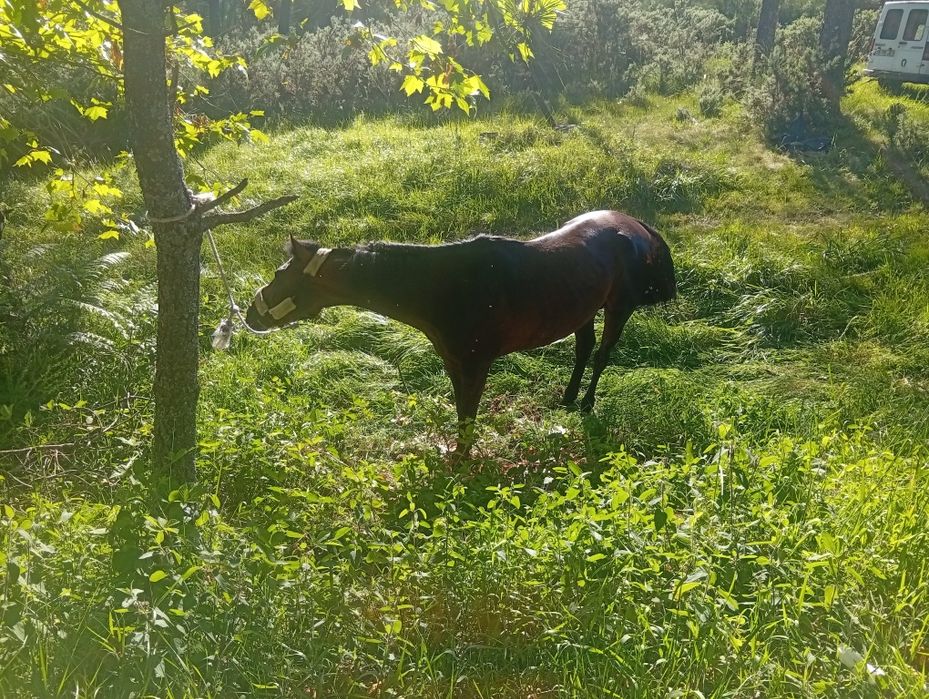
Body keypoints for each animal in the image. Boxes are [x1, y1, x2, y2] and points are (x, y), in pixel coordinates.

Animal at [245, 210, 677, 455]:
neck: (445, 288)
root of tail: (638, 227)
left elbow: (468, 414)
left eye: (280, 275)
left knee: (602, 354)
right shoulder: (454, 364)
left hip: (619, 308)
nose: (250, 314)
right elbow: (460, 412)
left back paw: (586, 404)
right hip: (582, 309)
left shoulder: (476, 365)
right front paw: (457, 454)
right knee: (583, 350)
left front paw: (462, 463)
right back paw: (567, 399)